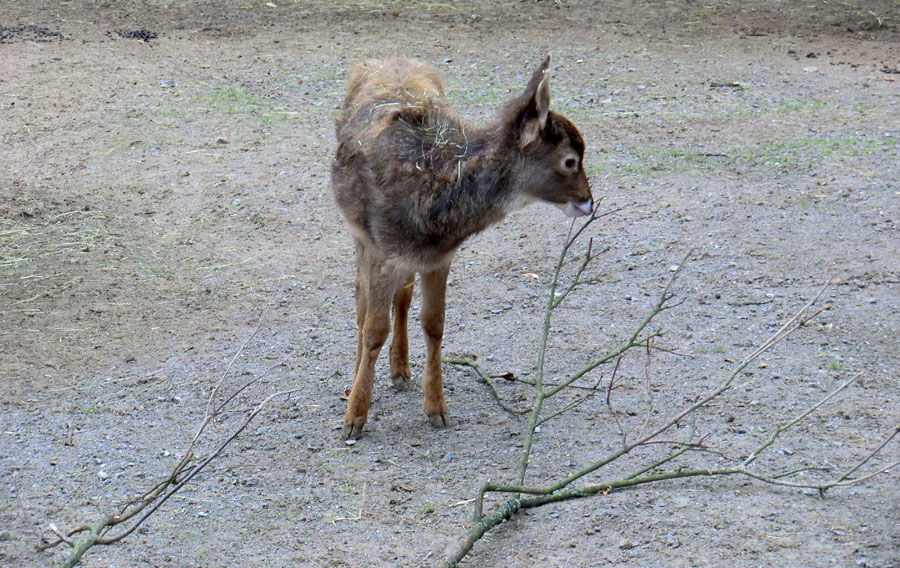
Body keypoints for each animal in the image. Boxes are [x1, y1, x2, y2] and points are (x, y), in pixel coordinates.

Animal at [330, 56, 592, 440]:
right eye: (571, 160)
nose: (589, 202)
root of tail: (384, 60)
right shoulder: (380, 249)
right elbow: (374, 328)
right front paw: (354, 419)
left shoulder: (440, 256)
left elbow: (434, 324)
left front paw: (437, 409)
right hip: (359, 235)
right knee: (361, 304)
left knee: (402, 298)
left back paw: (400, 371)